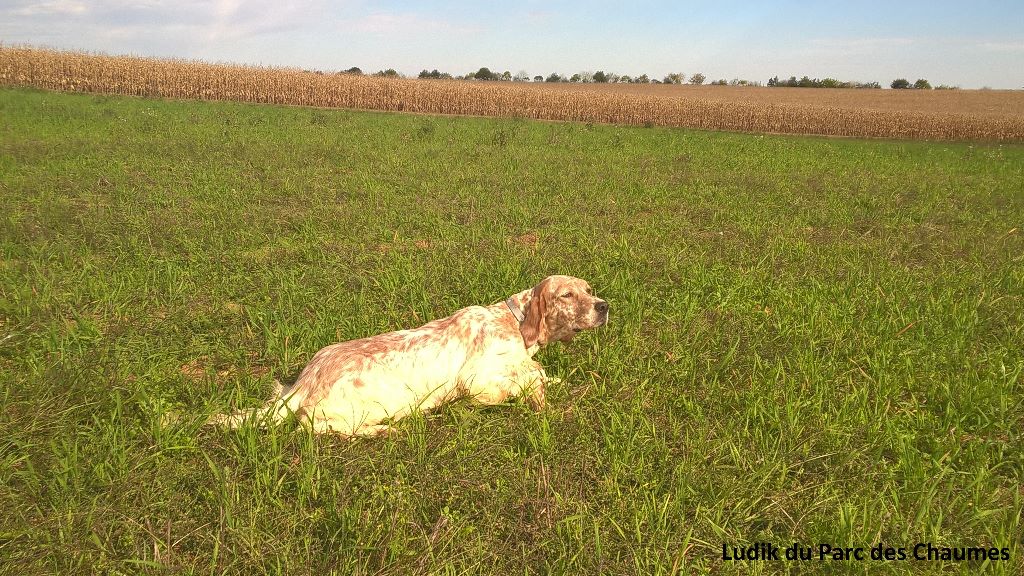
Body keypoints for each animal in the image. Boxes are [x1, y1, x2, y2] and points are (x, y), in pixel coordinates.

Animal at [209, 276, 606, 432]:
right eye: (567, 295)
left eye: (589, 290)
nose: (604, 306)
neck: (515, 321)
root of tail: (304, 381)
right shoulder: (475, 382)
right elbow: (523, 380)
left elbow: (537, 371)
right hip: (374, 404)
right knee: (315, 426)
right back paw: (381, 432)